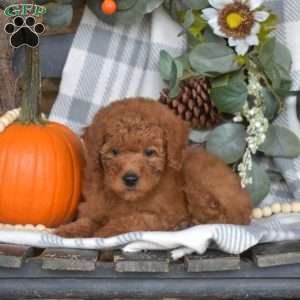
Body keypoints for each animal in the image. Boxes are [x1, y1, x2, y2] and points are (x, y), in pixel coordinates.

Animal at [55, 98, 252, 237]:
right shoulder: (95, 204)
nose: (130, 179)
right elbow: (89, 218)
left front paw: (108, 229)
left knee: (227, 218)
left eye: (150, 152)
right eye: (114, 152)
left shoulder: (165, 215)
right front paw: (70, 229)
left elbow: (136, 219)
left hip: (198, 179)